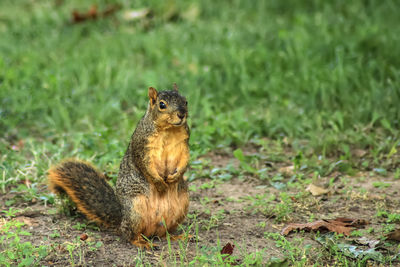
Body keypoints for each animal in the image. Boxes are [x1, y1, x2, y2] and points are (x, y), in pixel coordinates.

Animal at [48, 85, 189, 249]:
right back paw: (141, 243)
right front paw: (160, 183)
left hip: (181, 206)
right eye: (162, 105)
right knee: (129, 235)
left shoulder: (184, 143)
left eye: (185, 101)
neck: (169, 130)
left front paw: (175, 176)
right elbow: (145, 166)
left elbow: (185, 160)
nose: (181, 114)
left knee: (164, 233)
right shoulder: (141, 146)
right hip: (135, 211)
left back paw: (177, 236)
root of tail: (121, 218)